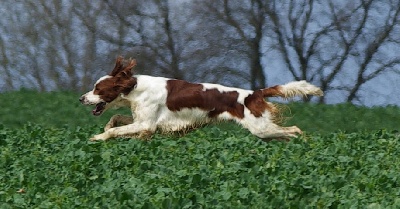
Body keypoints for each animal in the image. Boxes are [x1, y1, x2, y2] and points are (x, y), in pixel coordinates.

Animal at [79, 56, 324, 140]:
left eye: (98, 89)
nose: (81, 98)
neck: (135, 88)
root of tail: (255, 93)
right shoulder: (144, 122)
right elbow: (116, 120)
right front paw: (105, 128)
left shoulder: (146, 124)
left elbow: (114, 130)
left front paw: (97, 138)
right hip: (266, 133)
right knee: (287, 134)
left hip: (261, 128)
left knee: (295, 130)